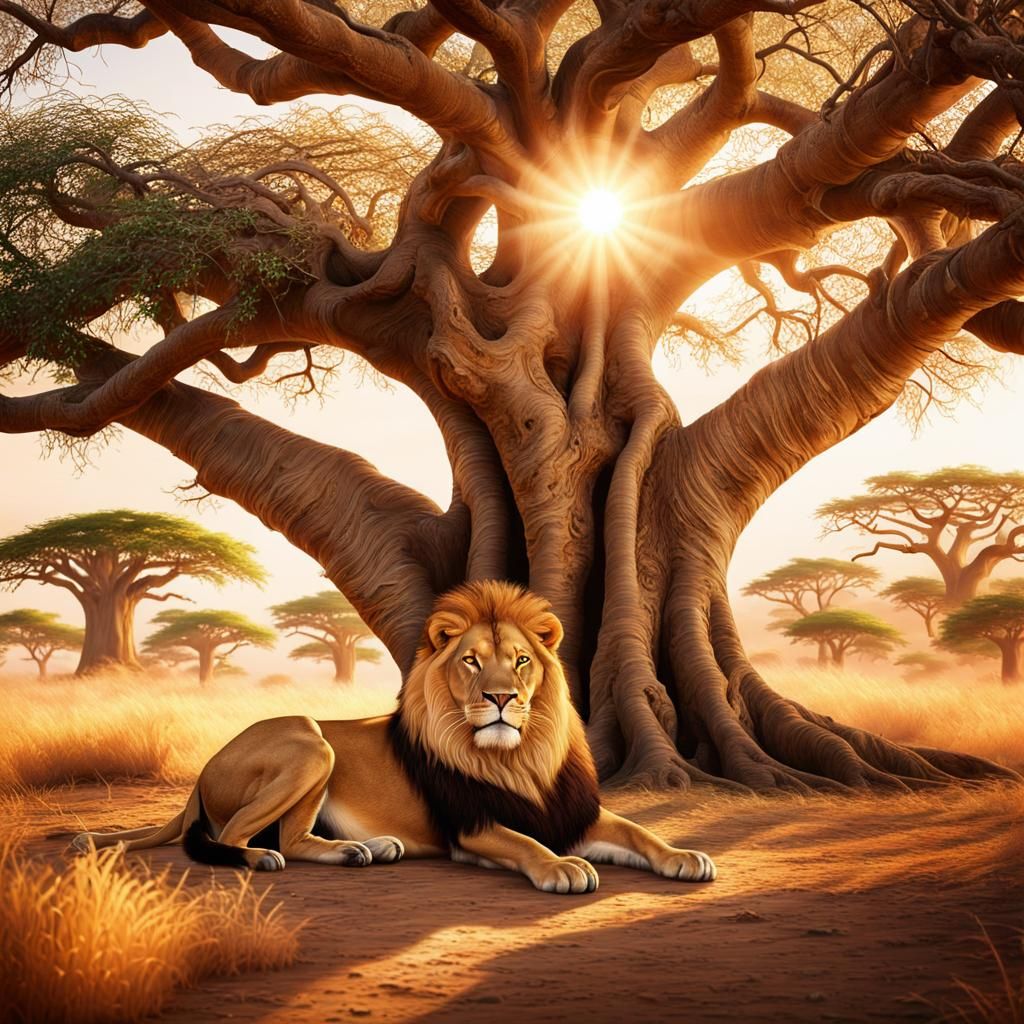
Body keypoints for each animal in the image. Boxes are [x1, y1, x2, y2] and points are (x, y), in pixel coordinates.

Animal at [73, 580, 716, 893]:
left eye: (521, 661)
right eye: (472, 662)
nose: (501, 699)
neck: (519, 759)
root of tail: (204, 769)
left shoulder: (574, 814)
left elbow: (638, 831)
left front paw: (686, 856)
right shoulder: (471, 828)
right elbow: (526, 844)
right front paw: (563, 868)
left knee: (297, 837)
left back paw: (365, 849)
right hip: (312, 742)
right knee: (233, 836)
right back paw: (262, 859)